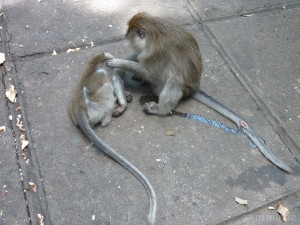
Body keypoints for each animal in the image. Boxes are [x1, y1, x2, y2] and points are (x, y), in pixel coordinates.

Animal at [68, 52, 157, 223]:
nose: (124, 77)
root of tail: (79, 108)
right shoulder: (112, 70)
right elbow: (115, 76)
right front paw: (123, 102)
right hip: (99, 104)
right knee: (109, 89)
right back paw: (113, 112)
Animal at [106, 12, 294, 174]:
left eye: (131, 37)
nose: (126, 39)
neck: (154, 30)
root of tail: (195, 88)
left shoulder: (155, 53)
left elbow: (148, 70)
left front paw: (118, 63)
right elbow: (139, 59)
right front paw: (120, 65)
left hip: (178, 88)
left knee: (173, 81)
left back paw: (160, 110)